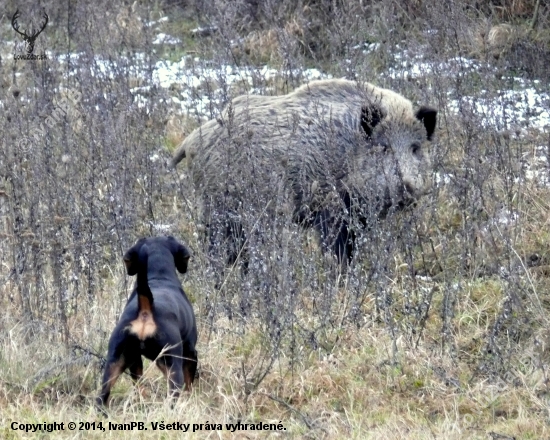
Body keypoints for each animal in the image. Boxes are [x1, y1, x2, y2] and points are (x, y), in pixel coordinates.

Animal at [97, 235, 198, 408]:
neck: (159, 277)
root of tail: (145, 309)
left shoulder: (135, 359)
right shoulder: (190, 352)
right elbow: (189, 382)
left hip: (115, 362)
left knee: (103, 395)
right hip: (173, 365)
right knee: (173, 394)